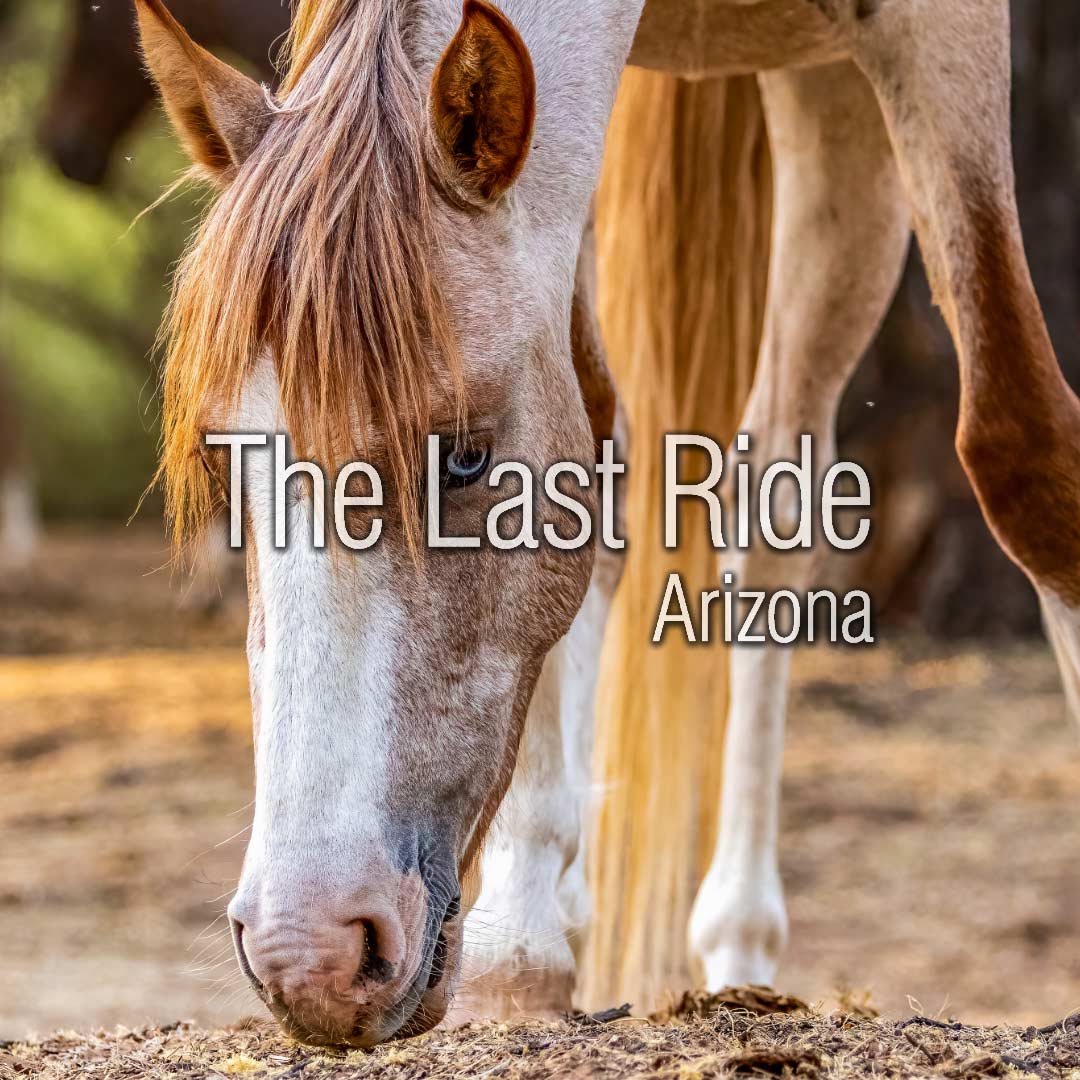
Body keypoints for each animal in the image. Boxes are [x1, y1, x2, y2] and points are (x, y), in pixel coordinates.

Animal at [133, 0, 1080, 1047]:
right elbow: (588, 431)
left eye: (464, 456)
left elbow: (1026, 453)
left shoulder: (943, 39)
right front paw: (523, 946)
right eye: (226, 464)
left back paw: (735, 938)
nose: (309, 957)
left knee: (780, 504)